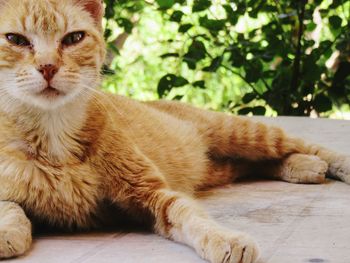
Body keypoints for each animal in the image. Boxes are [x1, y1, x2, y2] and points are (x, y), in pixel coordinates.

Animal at [0, 0, 348, 263]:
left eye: (73, 38)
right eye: (16, 39)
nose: (47, 67)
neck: (53, 132)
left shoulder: (151, 192)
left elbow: (191, 215)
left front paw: (225, 239)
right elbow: (11, 208)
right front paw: (7, 232)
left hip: (240, 132)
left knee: (304, 145)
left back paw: (328, 164)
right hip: (224, 163)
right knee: (256, 164)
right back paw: (305, 167)